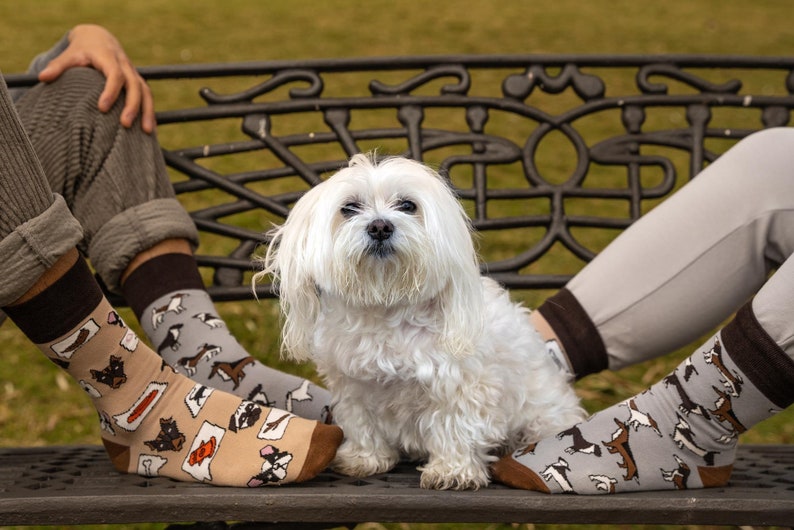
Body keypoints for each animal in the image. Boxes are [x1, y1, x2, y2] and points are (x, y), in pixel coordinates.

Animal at [254, 152, 580, 486]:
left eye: (408, 205)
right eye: (349, 208)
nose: (380, 226)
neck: (386, 306)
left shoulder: (459, 385)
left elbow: (455, 427)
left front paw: (452, 471)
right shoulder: (354, 387)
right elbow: (361, 422)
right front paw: (365, 458)